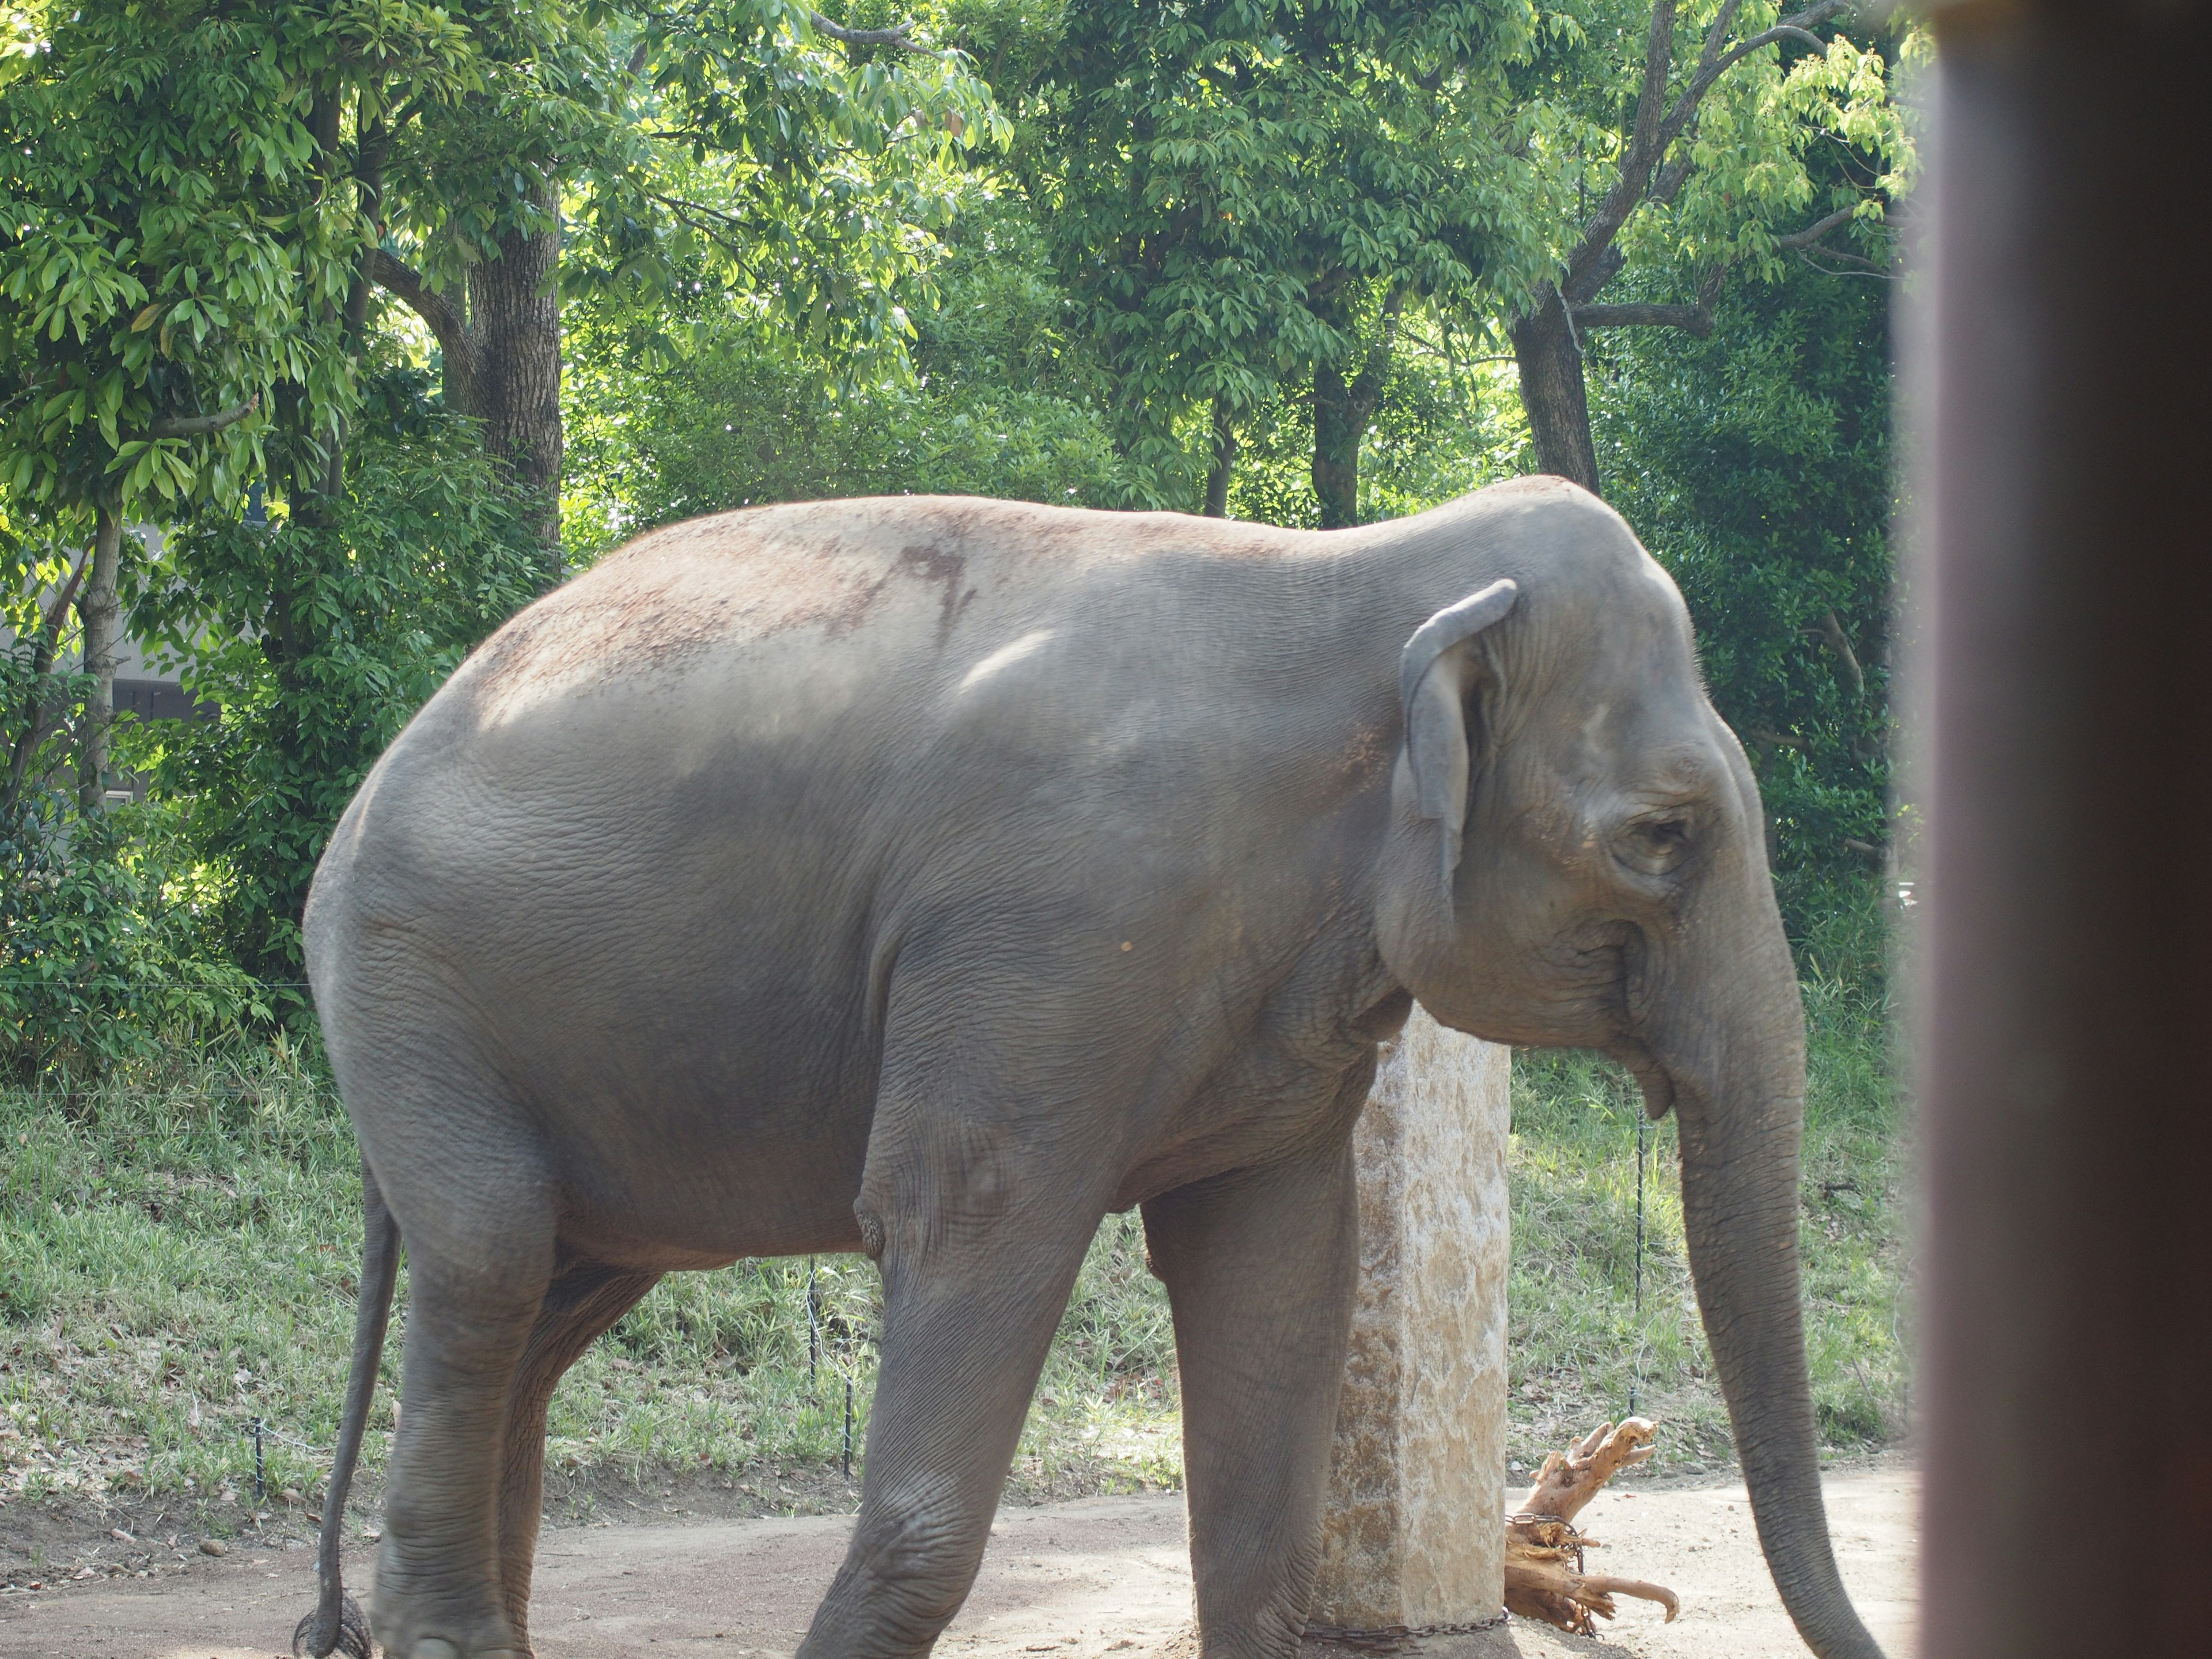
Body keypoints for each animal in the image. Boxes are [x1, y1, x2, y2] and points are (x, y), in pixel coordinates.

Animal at [294, 478, 1884, 1659]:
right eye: (1663, 835)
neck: (1366, 578)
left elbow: (1277, 1279)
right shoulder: (1038, 939)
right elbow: (960, 1232)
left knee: (550, 1301)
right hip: (404, 979)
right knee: (493, 1256)